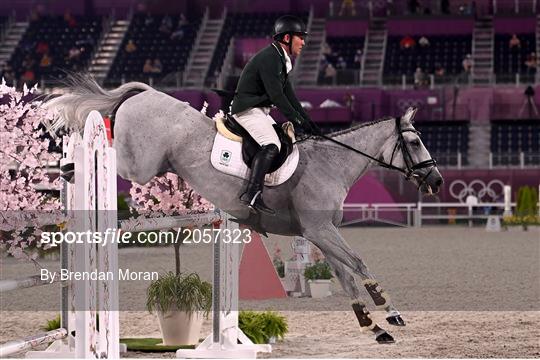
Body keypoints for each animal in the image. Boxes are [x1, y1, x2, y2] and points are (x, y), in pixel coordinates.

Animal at [46, 76, 442, 344]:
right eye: (414, 142)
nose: (436, 181)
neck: (332, 164)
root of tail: (145, 93)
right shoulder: (320, 230)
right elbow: (358, 263)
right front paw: (390, 311)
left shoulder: (319, 233)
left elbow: (345, 274)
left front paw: (372, 326)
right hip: (138, 166)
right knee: (107, 146)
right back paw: (69, 164)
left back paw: (67, 167)